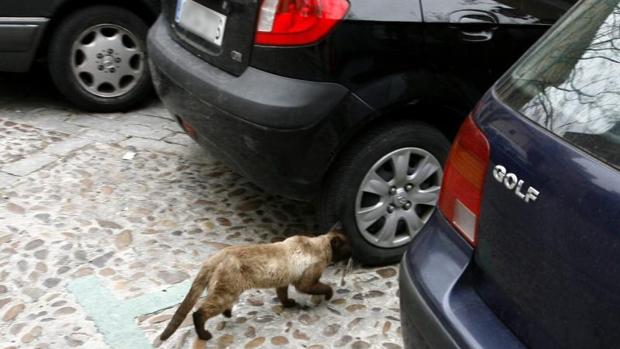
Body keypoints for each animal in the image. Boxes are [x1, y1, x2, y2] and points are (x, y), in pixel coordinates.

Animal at [156, 227, 348, 342]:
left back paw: (228, 314)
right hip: (226, 294)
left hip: (228, 292)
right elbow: (326, 287)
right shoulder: (306, 283)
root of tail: (216, 255)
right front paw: (329, 296)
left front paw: (289, 305)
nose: (352, 257)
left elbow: (283, 296)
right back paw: (205, 336)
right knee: (199, 313)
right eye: (348, 249)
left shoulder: (283, 282)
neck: (317, 246)